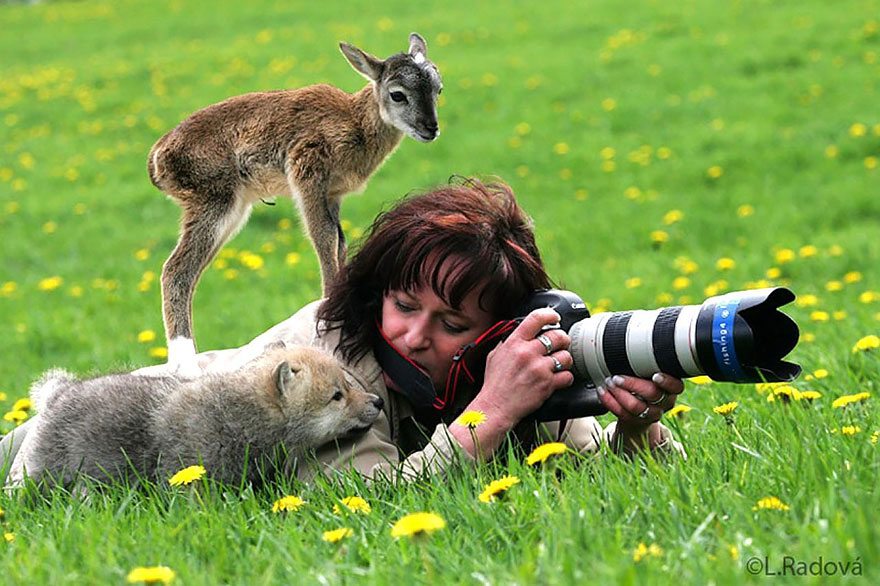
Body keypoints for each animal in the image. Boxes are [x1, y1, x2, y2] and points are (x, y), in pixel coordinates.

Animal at [147, 33, 442, 376]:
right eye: (397, 95)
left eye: (438, 89)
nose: (430, 128)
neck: (355, 123)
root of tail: (158, 157)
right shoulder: (307, 174)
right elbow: (323, 237)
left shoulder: (333, 195)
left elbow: (338, 241)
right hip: (214, 201)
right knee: (176, 269)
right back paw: (186, 365)